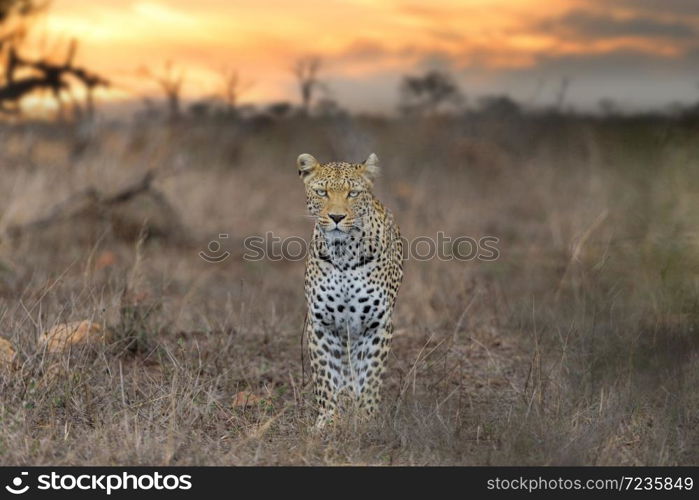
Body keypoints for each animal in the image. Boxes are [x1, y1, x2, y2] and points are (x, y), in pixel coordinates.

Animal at [296, 150, 404, 428]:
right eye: (321, 192)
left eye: (353, 193)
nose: (336, 217)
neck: (343, 254)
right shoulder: (321, 324)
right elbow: (325, 378)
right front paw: (328, 421)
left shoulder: (376, 325)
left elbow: (370, 378)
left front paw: (365, 420)